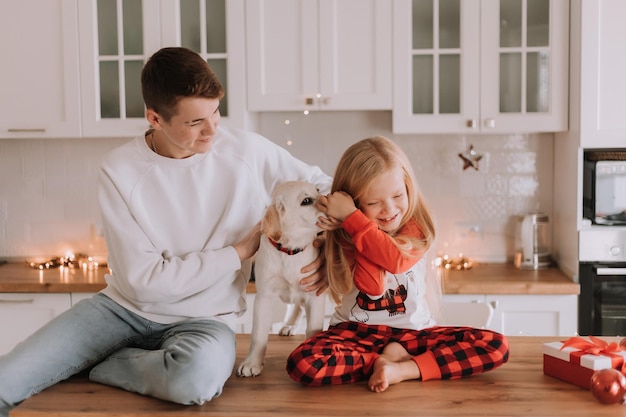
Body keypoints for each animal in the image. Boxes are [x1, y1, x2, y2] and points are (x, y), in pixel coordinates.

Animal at [236, 180, 326, 376]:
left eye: (318, 190)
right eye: (306, 201)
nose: (335, 196)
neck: (291, 251)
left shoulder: (315, 294)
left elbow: (313, 329)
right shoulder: (264, 297)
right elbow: (258, 334)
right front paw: (252, 363)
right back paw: (290, 325)